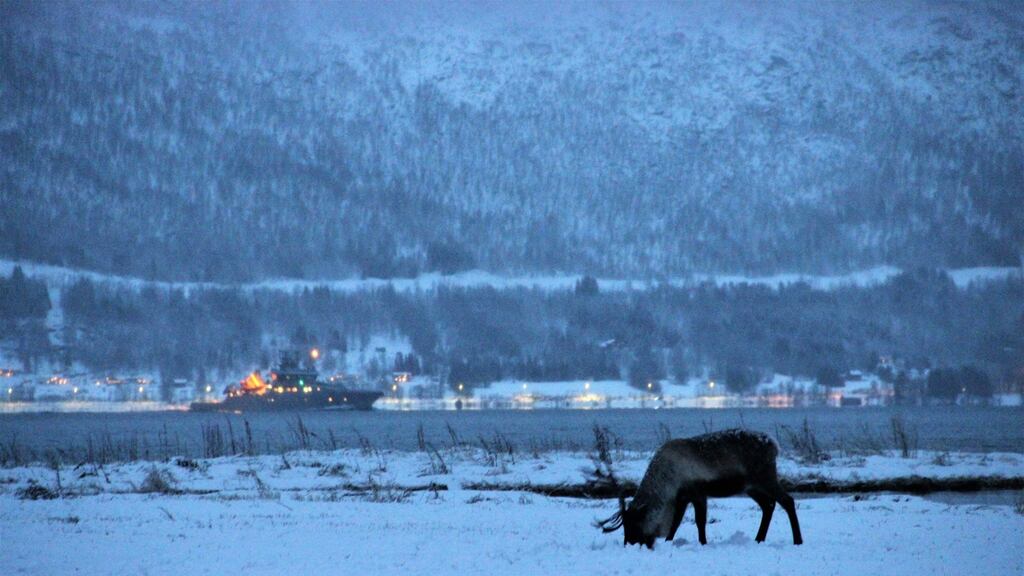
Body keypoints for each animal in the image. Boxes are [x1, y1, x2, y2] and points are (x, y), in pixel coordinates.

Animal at [595, 429, 802, 549]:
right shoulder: (682, 497)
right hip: (750, 487)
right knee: (768, 505)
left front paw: (703, 542)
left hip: (764, 478)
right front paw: (669, 541)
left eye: (634, 523)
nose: (629, 544)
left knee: (787, 501)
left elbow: (699, 521)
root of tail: (774, 445)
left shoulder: (698, 492)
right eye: (625, 525)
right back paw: (758, 539)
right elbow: (676, 523)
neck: (668, 481)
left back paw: (797, 540)